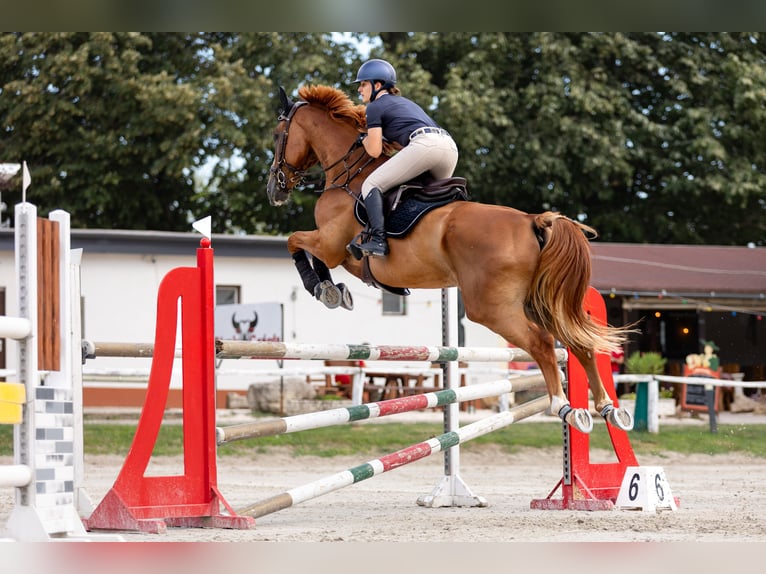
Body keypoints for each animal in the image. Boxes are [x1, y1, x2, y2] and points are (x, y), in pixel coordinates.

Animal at [268, 82, 632, 432]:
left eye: (276, 135)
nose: (275, 189)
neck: (348, 175)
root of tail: (534, 220)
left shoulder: (331, 243)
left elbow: (296, 242)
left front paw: (323, 288)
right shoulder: (333, 247)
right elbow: (311, 252)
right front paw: (333, 290)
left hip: (490, 307)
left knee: (542, 342)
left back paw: (564, 407)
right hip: (536, 302)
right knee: (577, 342)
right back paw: (608, 408)